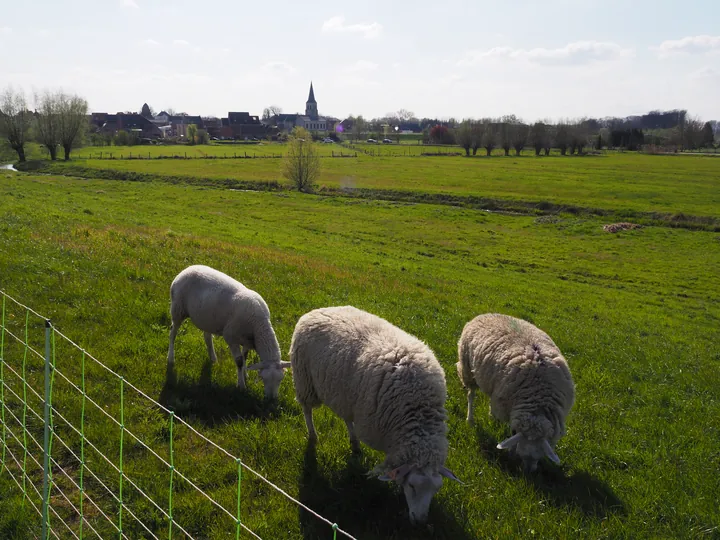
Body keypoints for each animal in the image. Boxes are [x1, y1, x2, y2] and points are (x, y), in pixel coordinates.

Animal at [167, 264, 292, 398]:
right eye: (264, 378)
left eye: (280, 379)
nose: (271, 399)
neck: (258, 325)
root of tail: (186, 269)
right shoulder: (231, 337)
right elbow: (239, 361)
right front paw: (241, 385)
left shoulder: (247, 340)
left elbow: (245, 357)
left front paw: (245, 374)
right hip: (178, 309)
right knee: (172, 333)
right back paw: (170, 358)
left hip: (207, 318)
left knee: (207, 337)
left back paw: (213, 359)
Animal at [288, 306, 462, 524]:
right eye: (412, 485)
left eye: (436, 489)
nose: (420, 521)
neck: (418, 409)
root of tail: (315, 311)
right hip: (305, 380)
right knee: (307, 409)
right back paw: (313, 435)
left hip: (348, 396)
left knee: (348, 418)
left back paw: (354, 443)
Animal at [458, 312, 576, 472]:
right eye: (522, 454)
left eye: (539, 456)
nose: (528, 472)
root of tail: (485, 314)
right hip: (468, 369)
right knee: (471, 395)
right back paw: (470, 419)